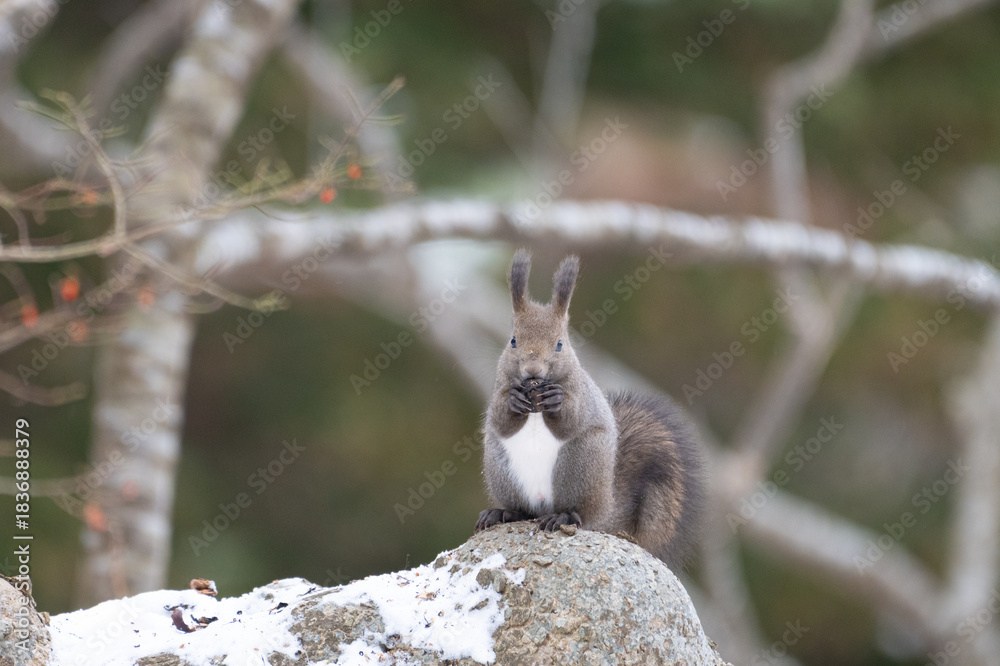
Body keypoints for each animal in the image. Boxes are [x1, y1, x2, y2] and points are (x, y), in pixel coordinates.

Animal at [475, 249, 704, 570]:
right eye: (513, 341)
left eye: (560, 344)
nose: (533, 369)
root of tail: (606, 506)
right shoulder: (498, 387)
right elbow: (500, 419)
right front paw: (513, 401)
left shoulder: (581, 394)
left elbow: (572, 420)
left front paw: (557, 400)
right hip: (501, 470)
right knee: (523, 511)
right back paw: (503, 513)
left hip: (580, 464)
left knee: (578, 514)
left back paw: (562, 516)